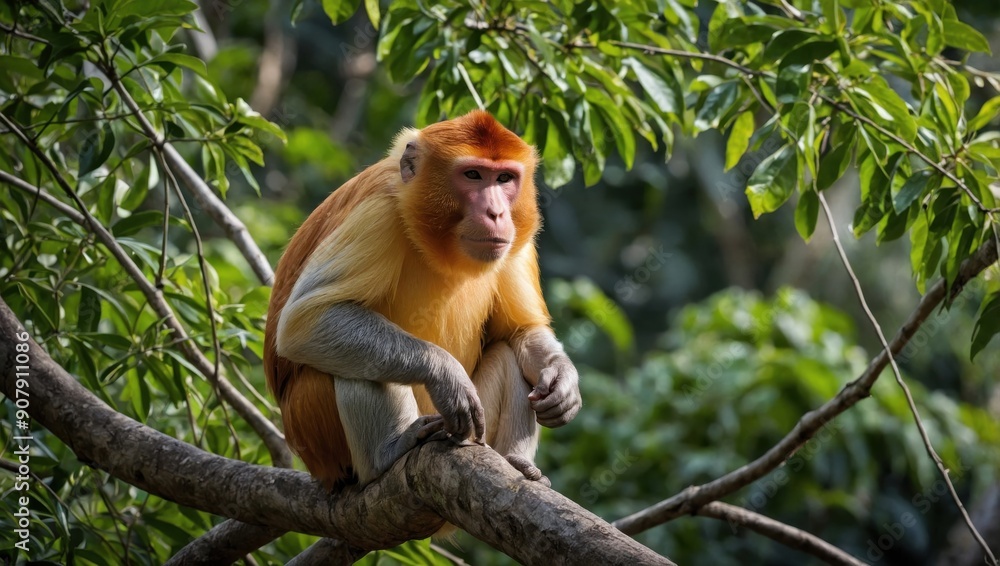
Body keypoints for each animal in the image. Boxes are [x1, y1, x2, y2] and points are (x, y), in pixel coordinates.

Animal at [263, 110, 581, 490]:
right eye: (473, 175)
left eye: (505, 177)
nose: (496, 213)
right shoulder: (378, 214)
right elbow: (307, 321)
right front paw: (447, 376)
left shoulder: (516, 237)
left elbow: (520, 331)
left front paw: (563, 382)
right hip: (314, 427)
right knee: (357, 357)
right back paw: (386, 454)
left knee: (507, 353)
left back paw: (514, 462)